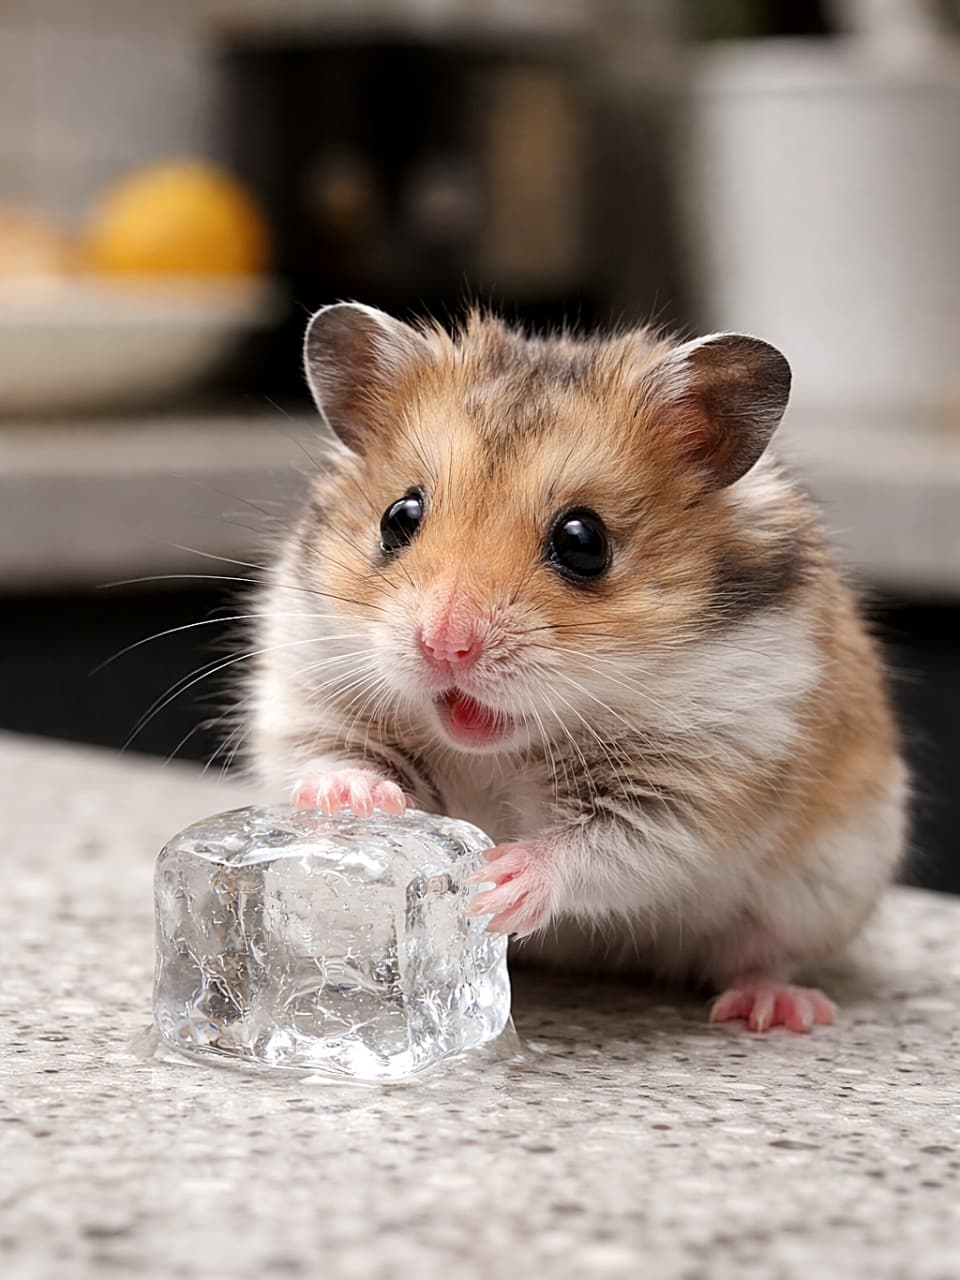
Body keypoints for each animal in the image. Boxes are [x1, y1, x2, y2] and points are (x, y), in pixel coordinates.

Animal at [249, 302, 907, 1033]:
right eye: (398, 517)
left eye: (583, 541)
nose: (444, 646)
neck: (501, 747)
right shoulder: (307, 691)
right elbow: (329, 757)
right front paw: (358, 799)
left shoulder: (697, 781)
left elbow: (606, 846)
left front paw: (497, 881)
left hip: (815, 894)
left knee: (757, 955)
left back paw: (774, 1011)